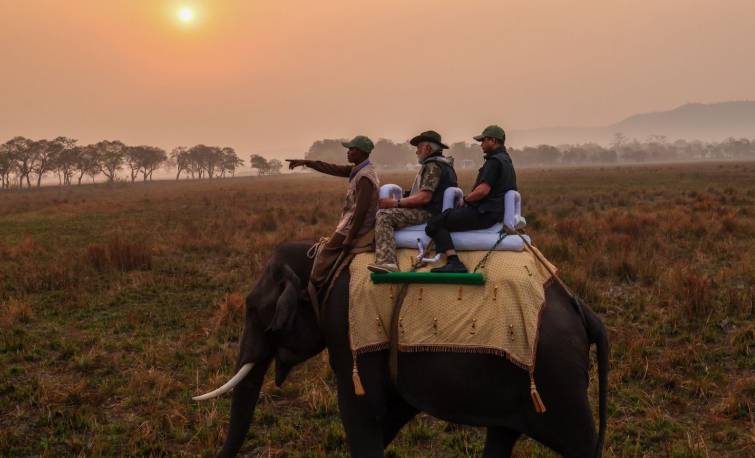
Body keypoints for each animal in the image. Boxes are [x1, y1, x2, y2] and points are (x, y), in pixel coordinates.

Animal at [195, 242, 608, 456]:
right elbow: (390, 412)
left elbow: (362, 410)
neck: (323, 260)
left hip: (558, 378)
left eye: (254, 310)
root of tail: (583, 310)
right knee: (502, 434)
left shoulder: (348, 329)